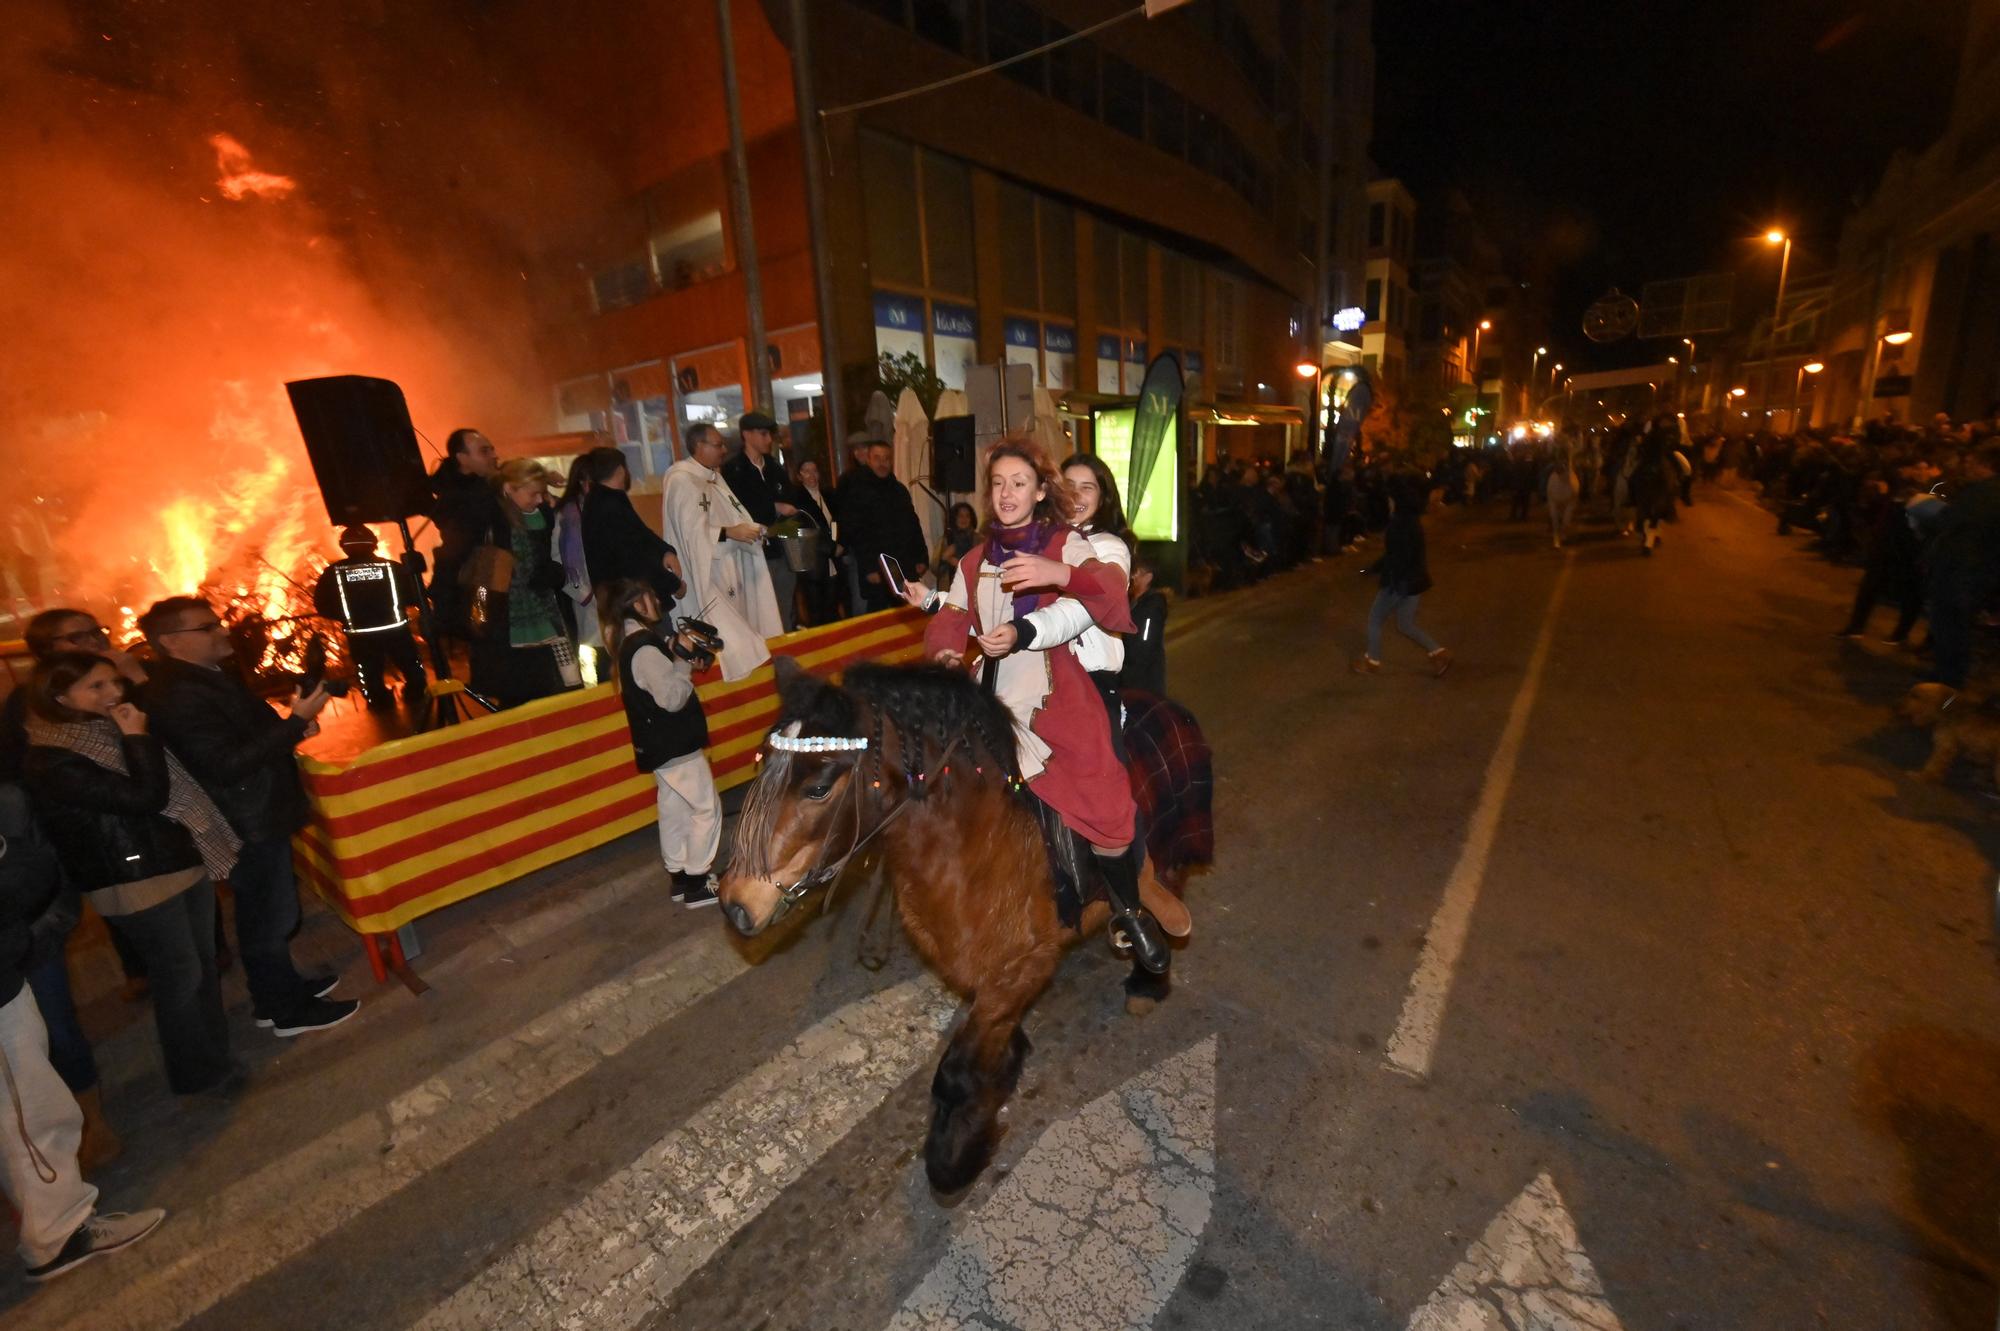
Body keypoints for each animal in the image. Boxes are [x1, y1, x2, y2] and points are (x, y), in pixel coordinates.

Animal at [724, 659, 1216, 1183]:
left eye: (817, 788)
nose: (736, 904)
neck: (975, 844)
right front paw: (1005, 1066)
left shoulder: (1022, 968)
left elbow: (955, 1074)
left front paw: (959, 1149)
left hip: (1171, 856)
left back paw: (1147, 974)